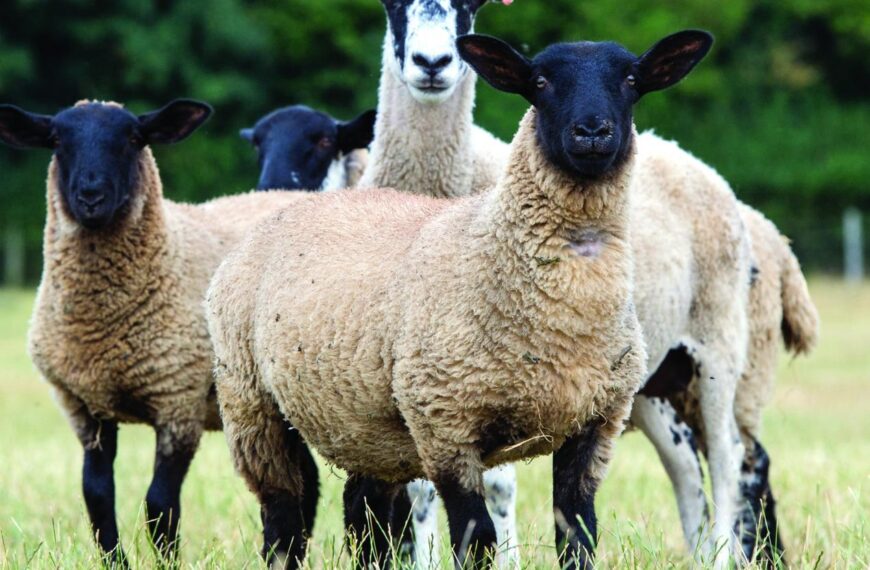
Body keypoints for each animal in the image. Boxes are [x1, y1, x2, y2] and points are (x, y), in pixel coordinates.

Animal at [0, 99, 314, 565]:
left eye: (133, 138)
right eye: (57, 140)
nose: (91, 197)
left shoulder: (177, 400)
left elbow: (160, 503)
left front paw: (166, 560)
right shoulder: (85, 407)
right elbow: (97, 496)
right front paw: (115, 561)